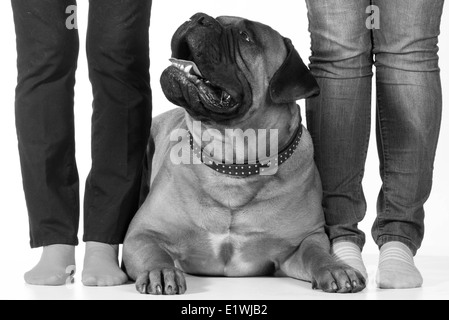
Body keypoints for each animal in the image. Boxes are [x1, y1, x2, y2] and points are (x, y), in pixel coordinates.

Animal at [121, 12, 364, 294]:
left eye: (245, 37)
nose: (198, 17)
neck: (233, 165)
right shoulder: (143, 232)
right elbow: (153, 252)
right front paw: (159, 271)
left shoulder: (304, 240)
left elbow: (316, 253)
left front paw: (335, 268)